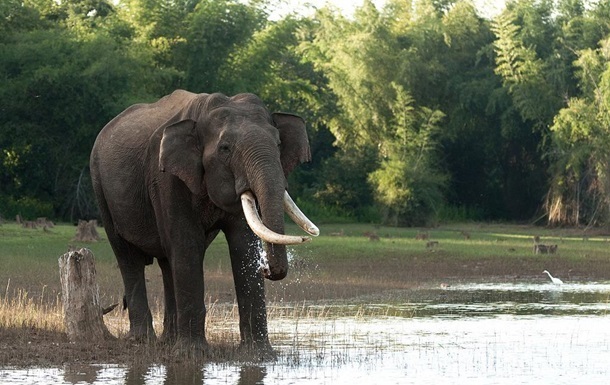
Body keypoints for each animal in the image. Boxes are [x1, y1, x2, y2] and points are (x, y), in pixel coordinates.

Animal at [91, 88, 320, 352]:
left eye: (279, 144)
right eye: (225, 148)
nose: (266, 268)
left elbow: (243, 245)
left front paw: (260, 354)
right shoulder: (166, 178)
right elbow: (188, 243)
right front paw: (192, 353)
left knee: (168, 261)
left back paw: (169, 340)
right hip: (100, 187)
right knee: (128, 257)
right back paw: (143, 340)